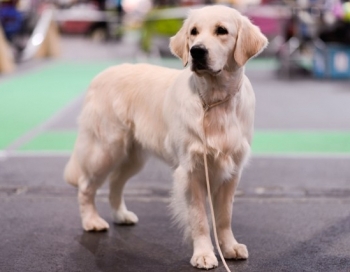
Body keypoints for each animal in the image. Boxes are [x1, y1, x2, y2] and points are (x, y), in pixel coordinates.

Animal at [63, 4, 268, 270]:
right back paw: (92, 221)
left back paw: (121, 215)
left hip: (133, 157)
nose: (196, 51)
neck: (213, 101)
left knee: (115, 182)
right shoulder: (191, 172)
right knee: (86, 186)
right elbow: (200, 219)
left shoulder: (231, 171)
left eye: (222, 30)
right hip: (105, 149)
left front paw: (230, 247)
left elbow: (224, 217)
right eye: (193, 32)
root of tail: (100, 76)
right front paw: (204, 254)